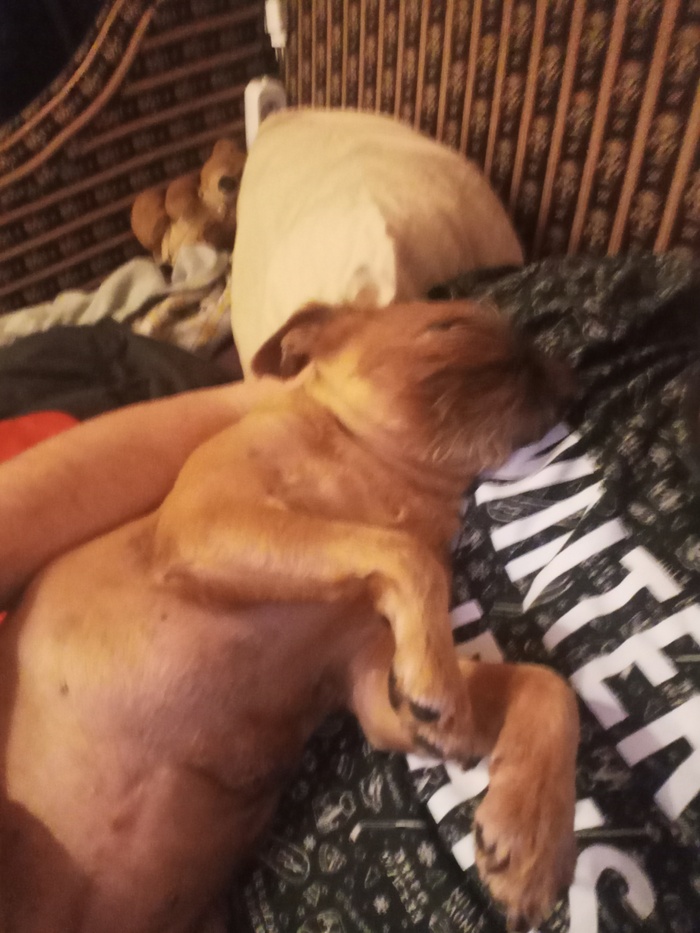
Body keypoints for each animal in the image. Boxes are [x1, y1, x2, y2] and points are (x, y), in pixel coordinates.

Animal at [0, 300, 578, 933]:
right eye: (447, 326)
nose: (543, 357)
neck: (389, 478)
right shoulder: (210, 523)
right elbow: (409, 556)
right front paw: (441, 683)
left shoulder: (372, 683)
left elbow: (548, 685)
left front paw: (533, 831)